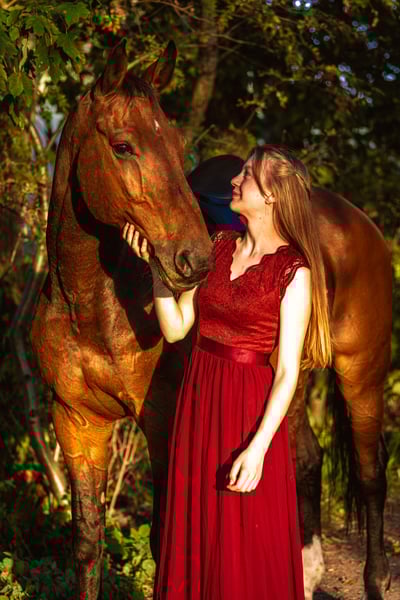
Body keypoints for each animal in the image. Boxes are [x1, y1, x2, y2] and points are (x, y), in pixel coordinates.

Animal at [30, 40, 212, 600]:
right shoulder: (77, 423)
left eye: (176, 143)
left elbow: (164, 538)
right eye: (124, 146)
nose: (195, 260)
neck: (89, 308)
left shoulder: (162, 418)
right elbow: (88, 540)